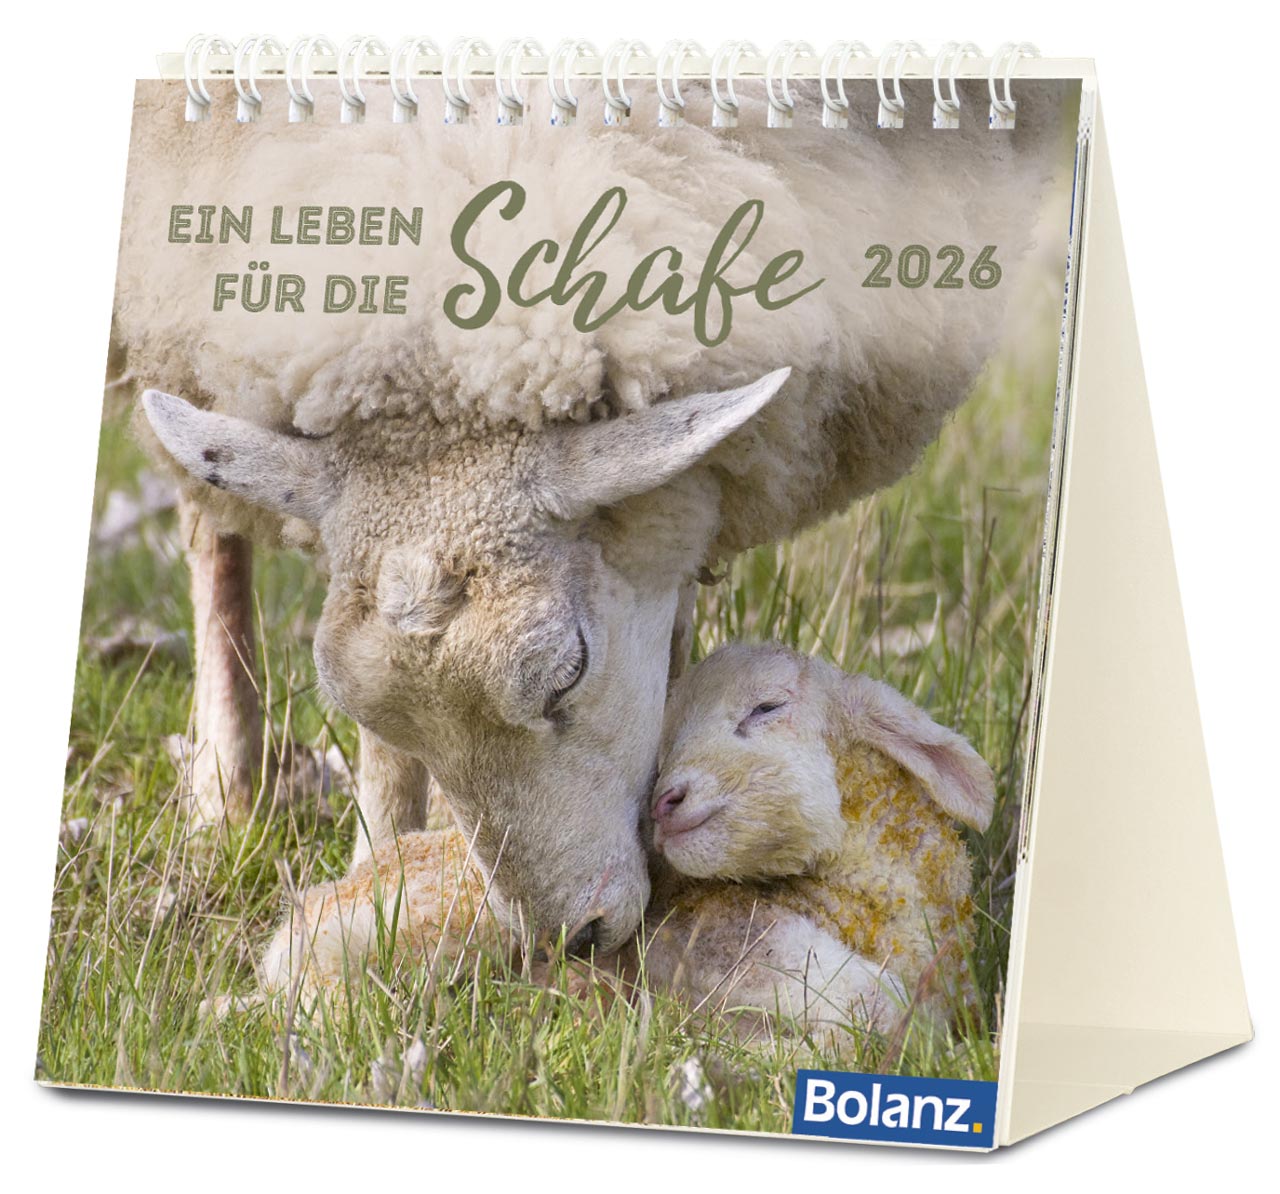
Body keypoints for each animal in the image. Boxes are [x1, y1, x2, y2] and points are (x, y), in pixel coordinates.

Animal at [117, 75, 1072, 953]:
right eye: (375, 715)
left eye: (568, 673)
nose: (569, 942)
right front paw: (379, 866)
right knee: (208, 528)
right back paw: (227, 792)